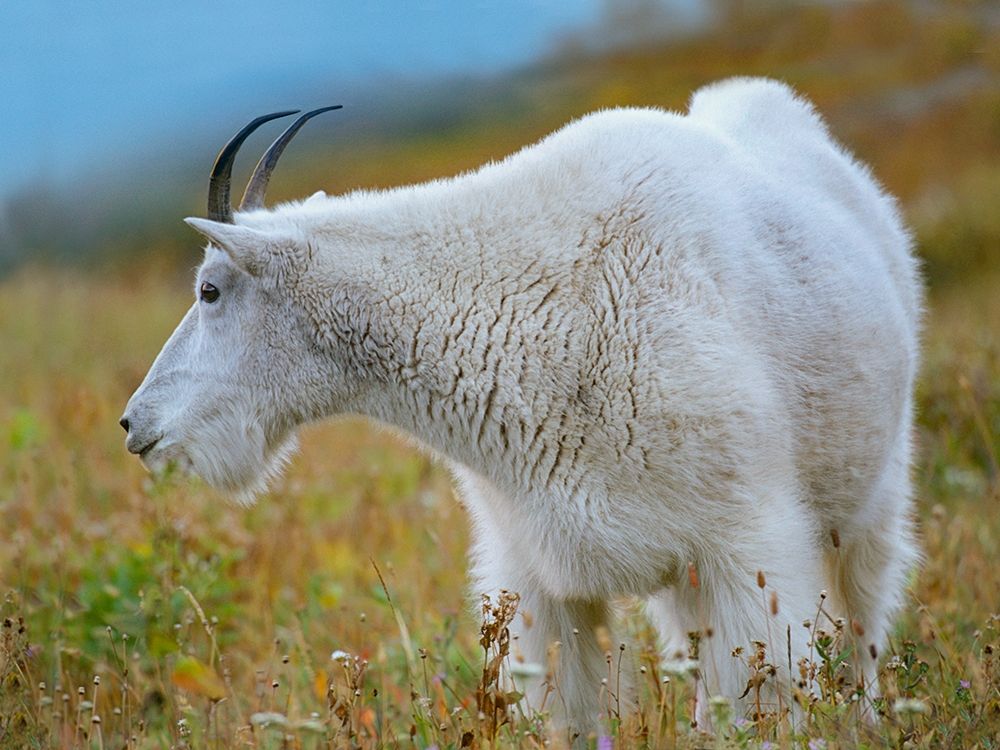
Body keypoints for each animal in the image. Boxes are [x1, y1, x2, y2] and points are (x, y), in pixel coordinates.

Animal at [121, 77, 921, 733]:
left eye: (210, 290)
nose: (136, 425)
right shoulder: (542, 577)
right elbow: (566, 711)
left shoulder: (745, 546)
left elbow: (756, 702)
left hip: (868, 503)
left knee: (862, 626)